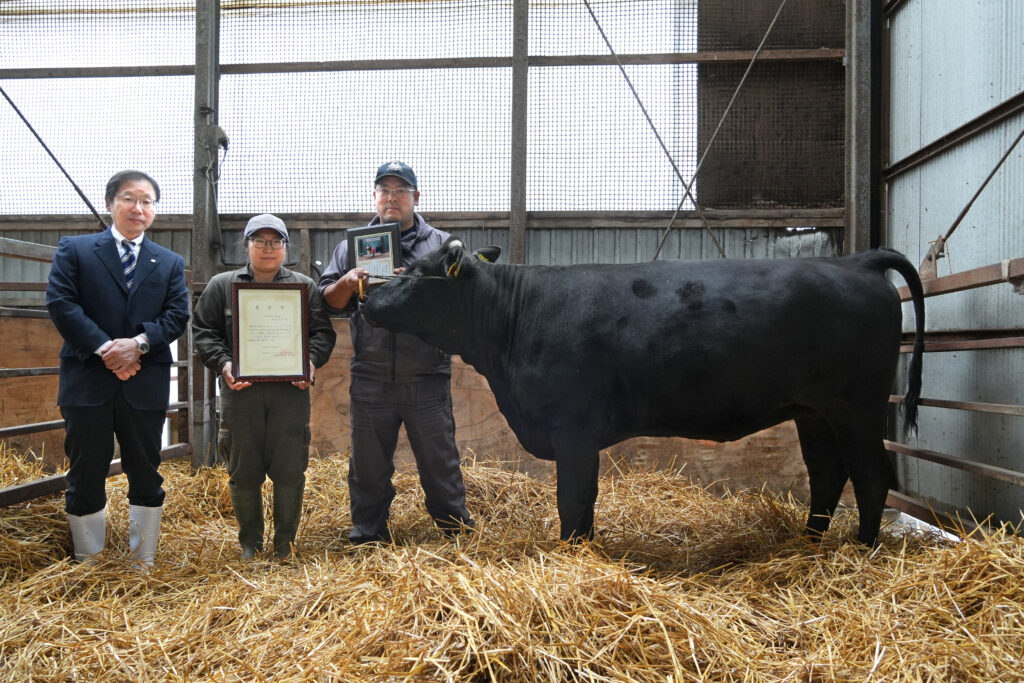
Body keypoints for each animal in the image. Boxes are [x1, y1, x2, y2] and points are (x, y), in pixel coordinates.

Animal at [364, 237, 925, 548]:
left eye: (415, 273)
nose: (365, 301)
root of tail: (856, 260)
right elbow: (581, 501)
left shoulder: (572, 425)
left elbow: (574, 497)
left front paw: (573, 550)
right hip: (813, 412)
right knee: (827, 475)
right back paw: (807, 544)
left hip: (858, 408)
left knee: (871, 476)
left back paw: (862, 550)